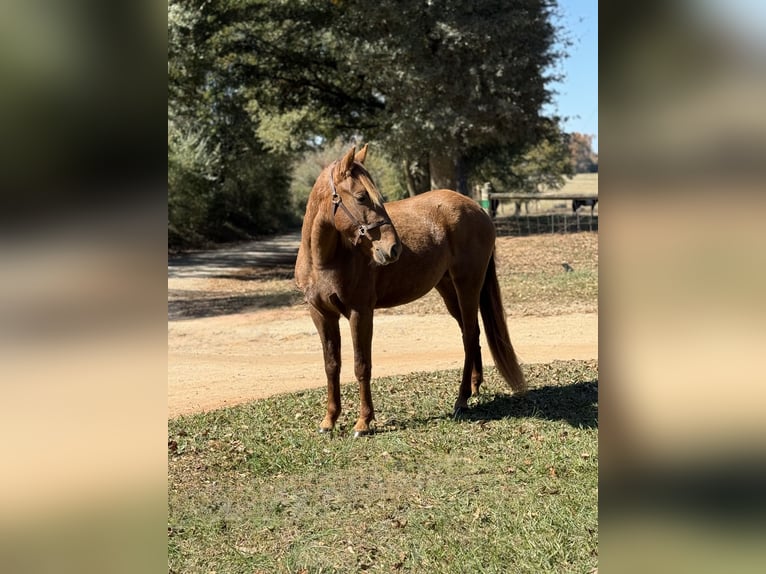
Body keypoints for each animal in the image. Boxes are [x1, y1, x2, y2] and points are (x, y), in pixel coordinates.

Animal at [295, 145, 526, 437]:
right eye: (361, 197)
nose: (393, 248)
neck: (324, 261)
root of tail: (479, 210)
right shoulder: (321, 315)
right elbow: (331, 366)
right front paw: (329, 420)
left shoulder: (360, 312)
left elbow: (362, 365)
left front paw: (363, 422)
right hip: (448, 289)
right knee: (470, 334)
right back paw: (474, 388)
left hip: (468, 285)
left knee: (470, 335)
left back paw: (461, 400)